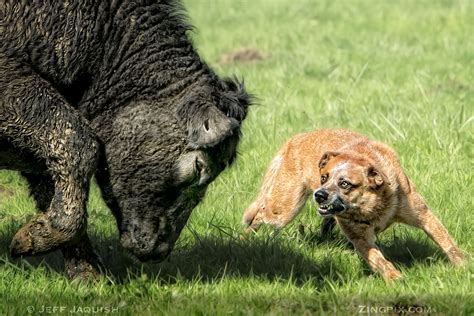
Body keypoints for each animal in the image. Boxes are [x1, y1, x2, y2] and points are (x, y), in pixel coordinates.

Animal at [243, 128, 464, 282]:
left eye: (345, 183)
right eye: (323, 177)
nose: (319, 194)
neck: (377, 204)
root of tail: (296, 138)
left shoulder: (423, 214)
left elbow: (447, 241)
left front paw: (464, 265)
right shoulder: (360, 237)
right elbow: (378, 259)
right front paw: (395, 277)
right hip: (284, 208)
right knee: (259, 214)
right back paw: (245, 240)